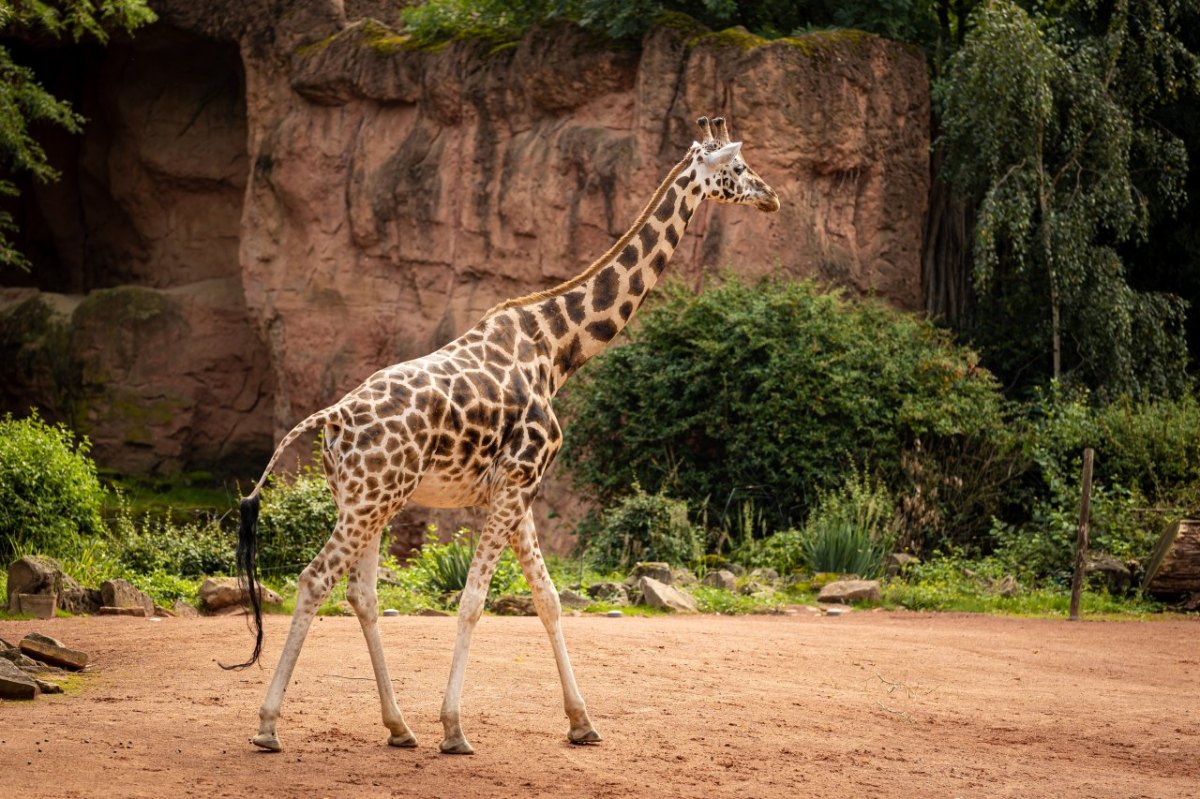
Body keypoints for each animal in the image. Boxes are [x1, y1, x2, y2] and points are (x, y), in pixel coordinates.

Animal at [226, 115, 779, 755]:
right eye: (737, 167)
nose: (772, 196)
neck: (558, 349)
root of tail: (331, 420)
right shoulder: (518, 481)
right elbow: (473, 600)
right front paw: (454, 729)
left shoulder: (518, 491)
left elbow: (548, 598)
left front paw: (582, 723)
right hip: (373, 500)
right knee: (315, 579)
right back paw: (268, 727)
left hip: (365, 499)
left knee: (361, 594)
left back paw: (399, 727)